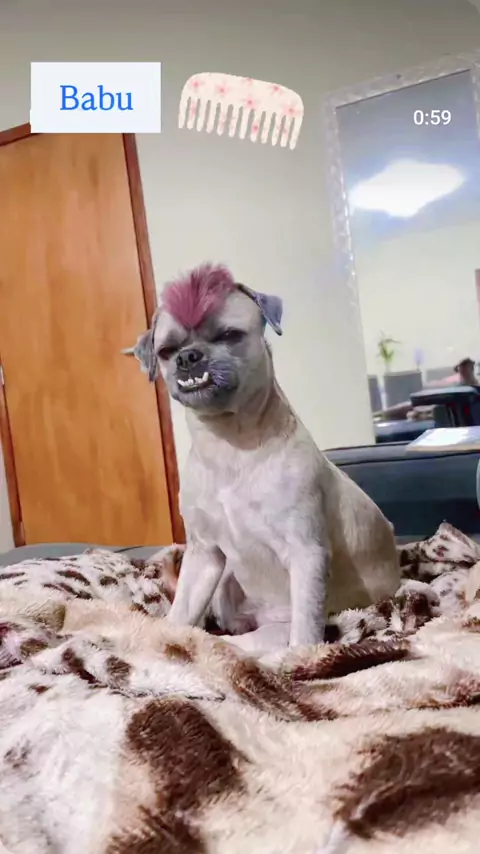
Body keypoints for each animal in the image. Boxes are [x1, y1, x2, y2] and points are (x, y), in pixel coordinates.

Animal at [129, 263, 400, 654]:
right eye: (166, 351)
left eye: (230, 335)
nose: (188, 356)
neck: (230, 445)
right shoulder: (204, 555)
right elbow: (180, 614)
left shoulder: (306, 554)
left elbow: (305, 630)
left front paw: (302, 659)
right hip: (224, 583)